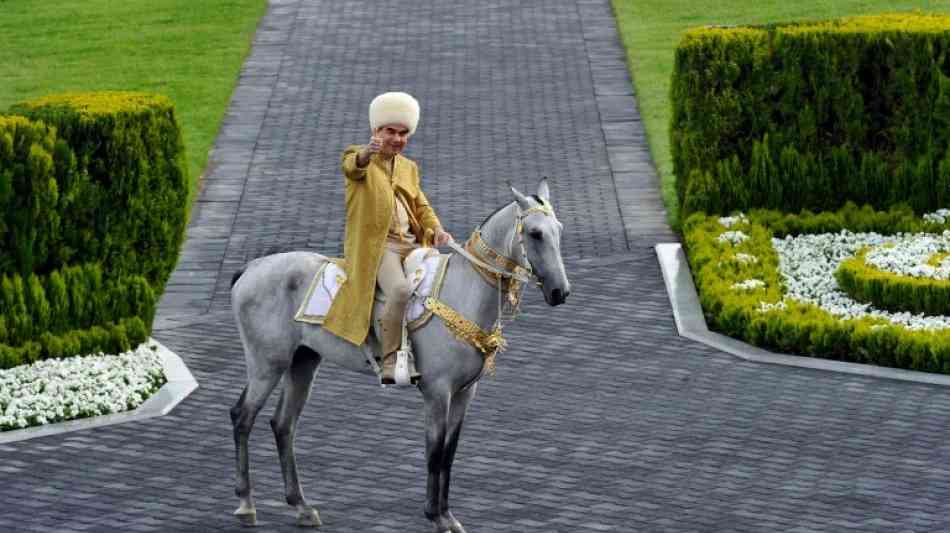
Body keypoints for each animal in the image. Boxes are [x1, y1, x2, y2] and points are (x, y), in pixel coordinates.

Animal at [231, 177, 572, 528]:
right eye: (535, 233)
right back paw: (246, 504)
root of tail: (252, 267)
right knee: (242, 416)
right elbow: (434, 452)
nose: (560, 292)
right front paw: (435, 517)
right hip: (266, 365)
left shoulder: (465, 393)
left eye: (558, 229)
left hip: (302, 362)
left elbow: (449, 453)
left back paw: (301, 506)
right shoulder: (437, 392)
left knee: (283, 424)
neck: (462, 293)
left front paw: (448, 516)